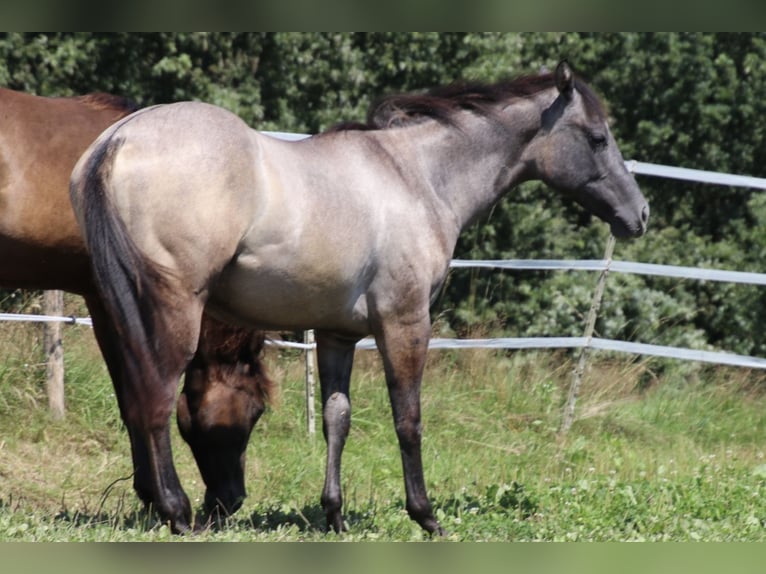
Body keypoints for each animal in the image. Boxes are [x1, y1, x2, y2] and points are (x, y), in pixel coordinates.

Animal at [70, 62, 648, 536]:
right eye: (598, 138)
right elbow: (408, 419)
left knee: (137, 400)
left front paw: (335, 514)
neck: (417, 177)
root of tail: (116, 141)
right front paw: (426, 516)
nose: (639, 214)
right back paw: (177, 511)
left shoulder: (336, 335)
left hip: (119, 311)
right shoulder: (406, 323)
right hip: (173, 311)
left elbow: (337, 418)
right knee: (155, 399)